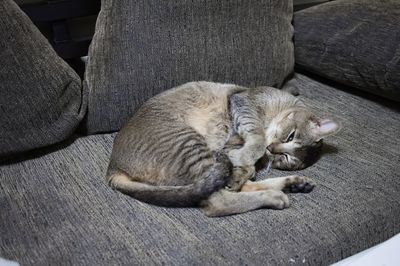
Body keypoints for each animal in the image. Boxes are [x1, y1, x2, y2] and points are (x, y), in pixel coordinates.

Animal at [104, 82, 340, 217]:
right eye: (290, 136)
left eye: (286, 158)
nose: (273, 149)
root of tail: (113, 167)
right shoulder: (243, 103)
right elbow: (256, 141)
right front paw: (247, 156)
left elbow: (246, 165)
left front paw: (245, 165)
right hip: (190, 145)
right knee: (217, 202)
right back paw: (275, 196)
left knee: (226, 190)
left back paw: (293, 184)